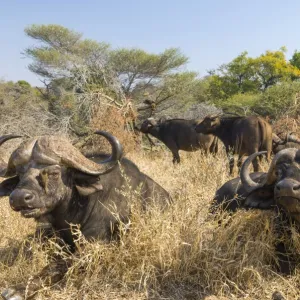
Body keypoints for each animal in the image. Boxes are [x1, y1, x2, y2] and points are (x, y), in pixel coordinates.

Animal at [0, 131, 171, 300]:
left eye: (54, 173)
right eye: (20, 173)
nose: (18, 197)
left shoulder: (95, 246)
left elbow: (58, 265)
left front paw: (19, 289)